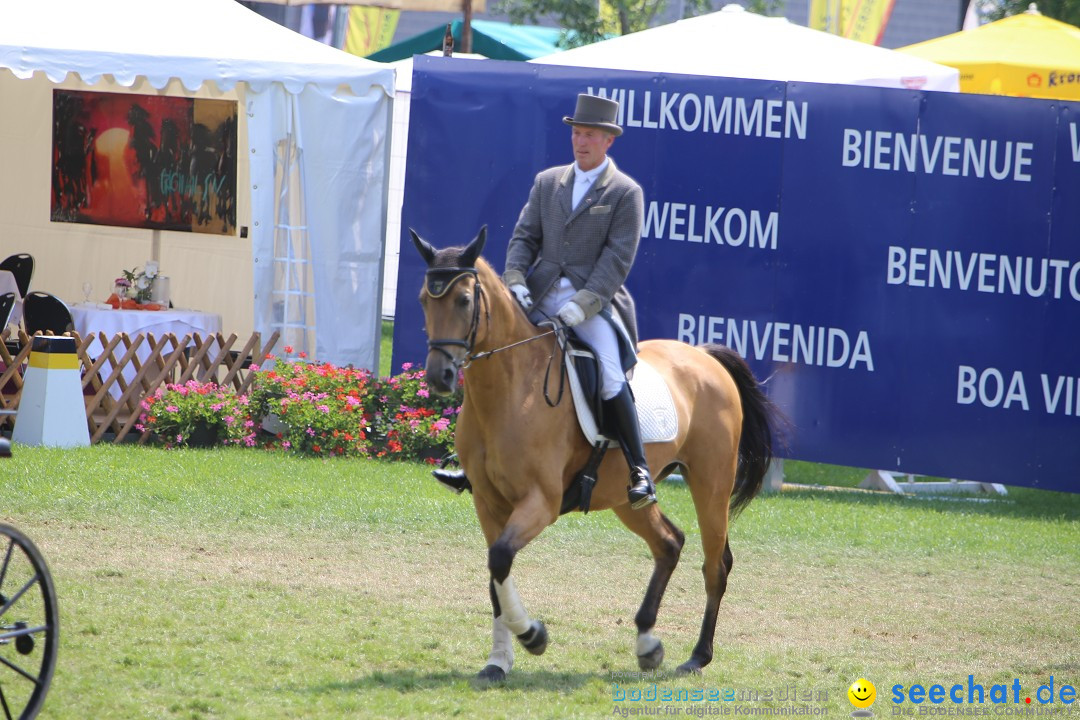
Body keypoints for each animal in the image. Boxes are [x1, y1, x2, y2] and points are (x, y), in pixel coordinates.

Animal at [410, 225, 777, 682]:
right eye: (424, 300)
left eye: (462, 300)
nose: (438, 377)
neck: (510, 388)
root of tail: (704, 356)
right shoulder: (487, 503)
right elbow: (496, 573)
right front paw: (498, 662)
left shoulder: (541, 502)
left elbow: (500, 559)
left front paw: (533, 635)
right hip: (623, 496)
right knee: (669, 543)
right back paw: (648, 644)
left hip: (711, 482)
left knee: (716, 564)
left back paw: (697, 656)